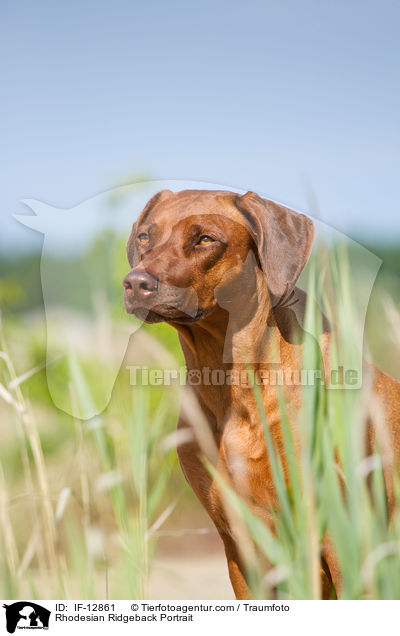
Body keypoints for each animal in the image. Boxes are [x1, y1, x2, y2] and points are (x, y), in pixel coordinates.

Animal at [123, 188, 400, 596]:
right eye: (145, 236)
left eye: (205, 239)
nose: (136, 284)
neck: (231, 386)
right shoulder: (240, 545)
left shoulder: (345, 540)